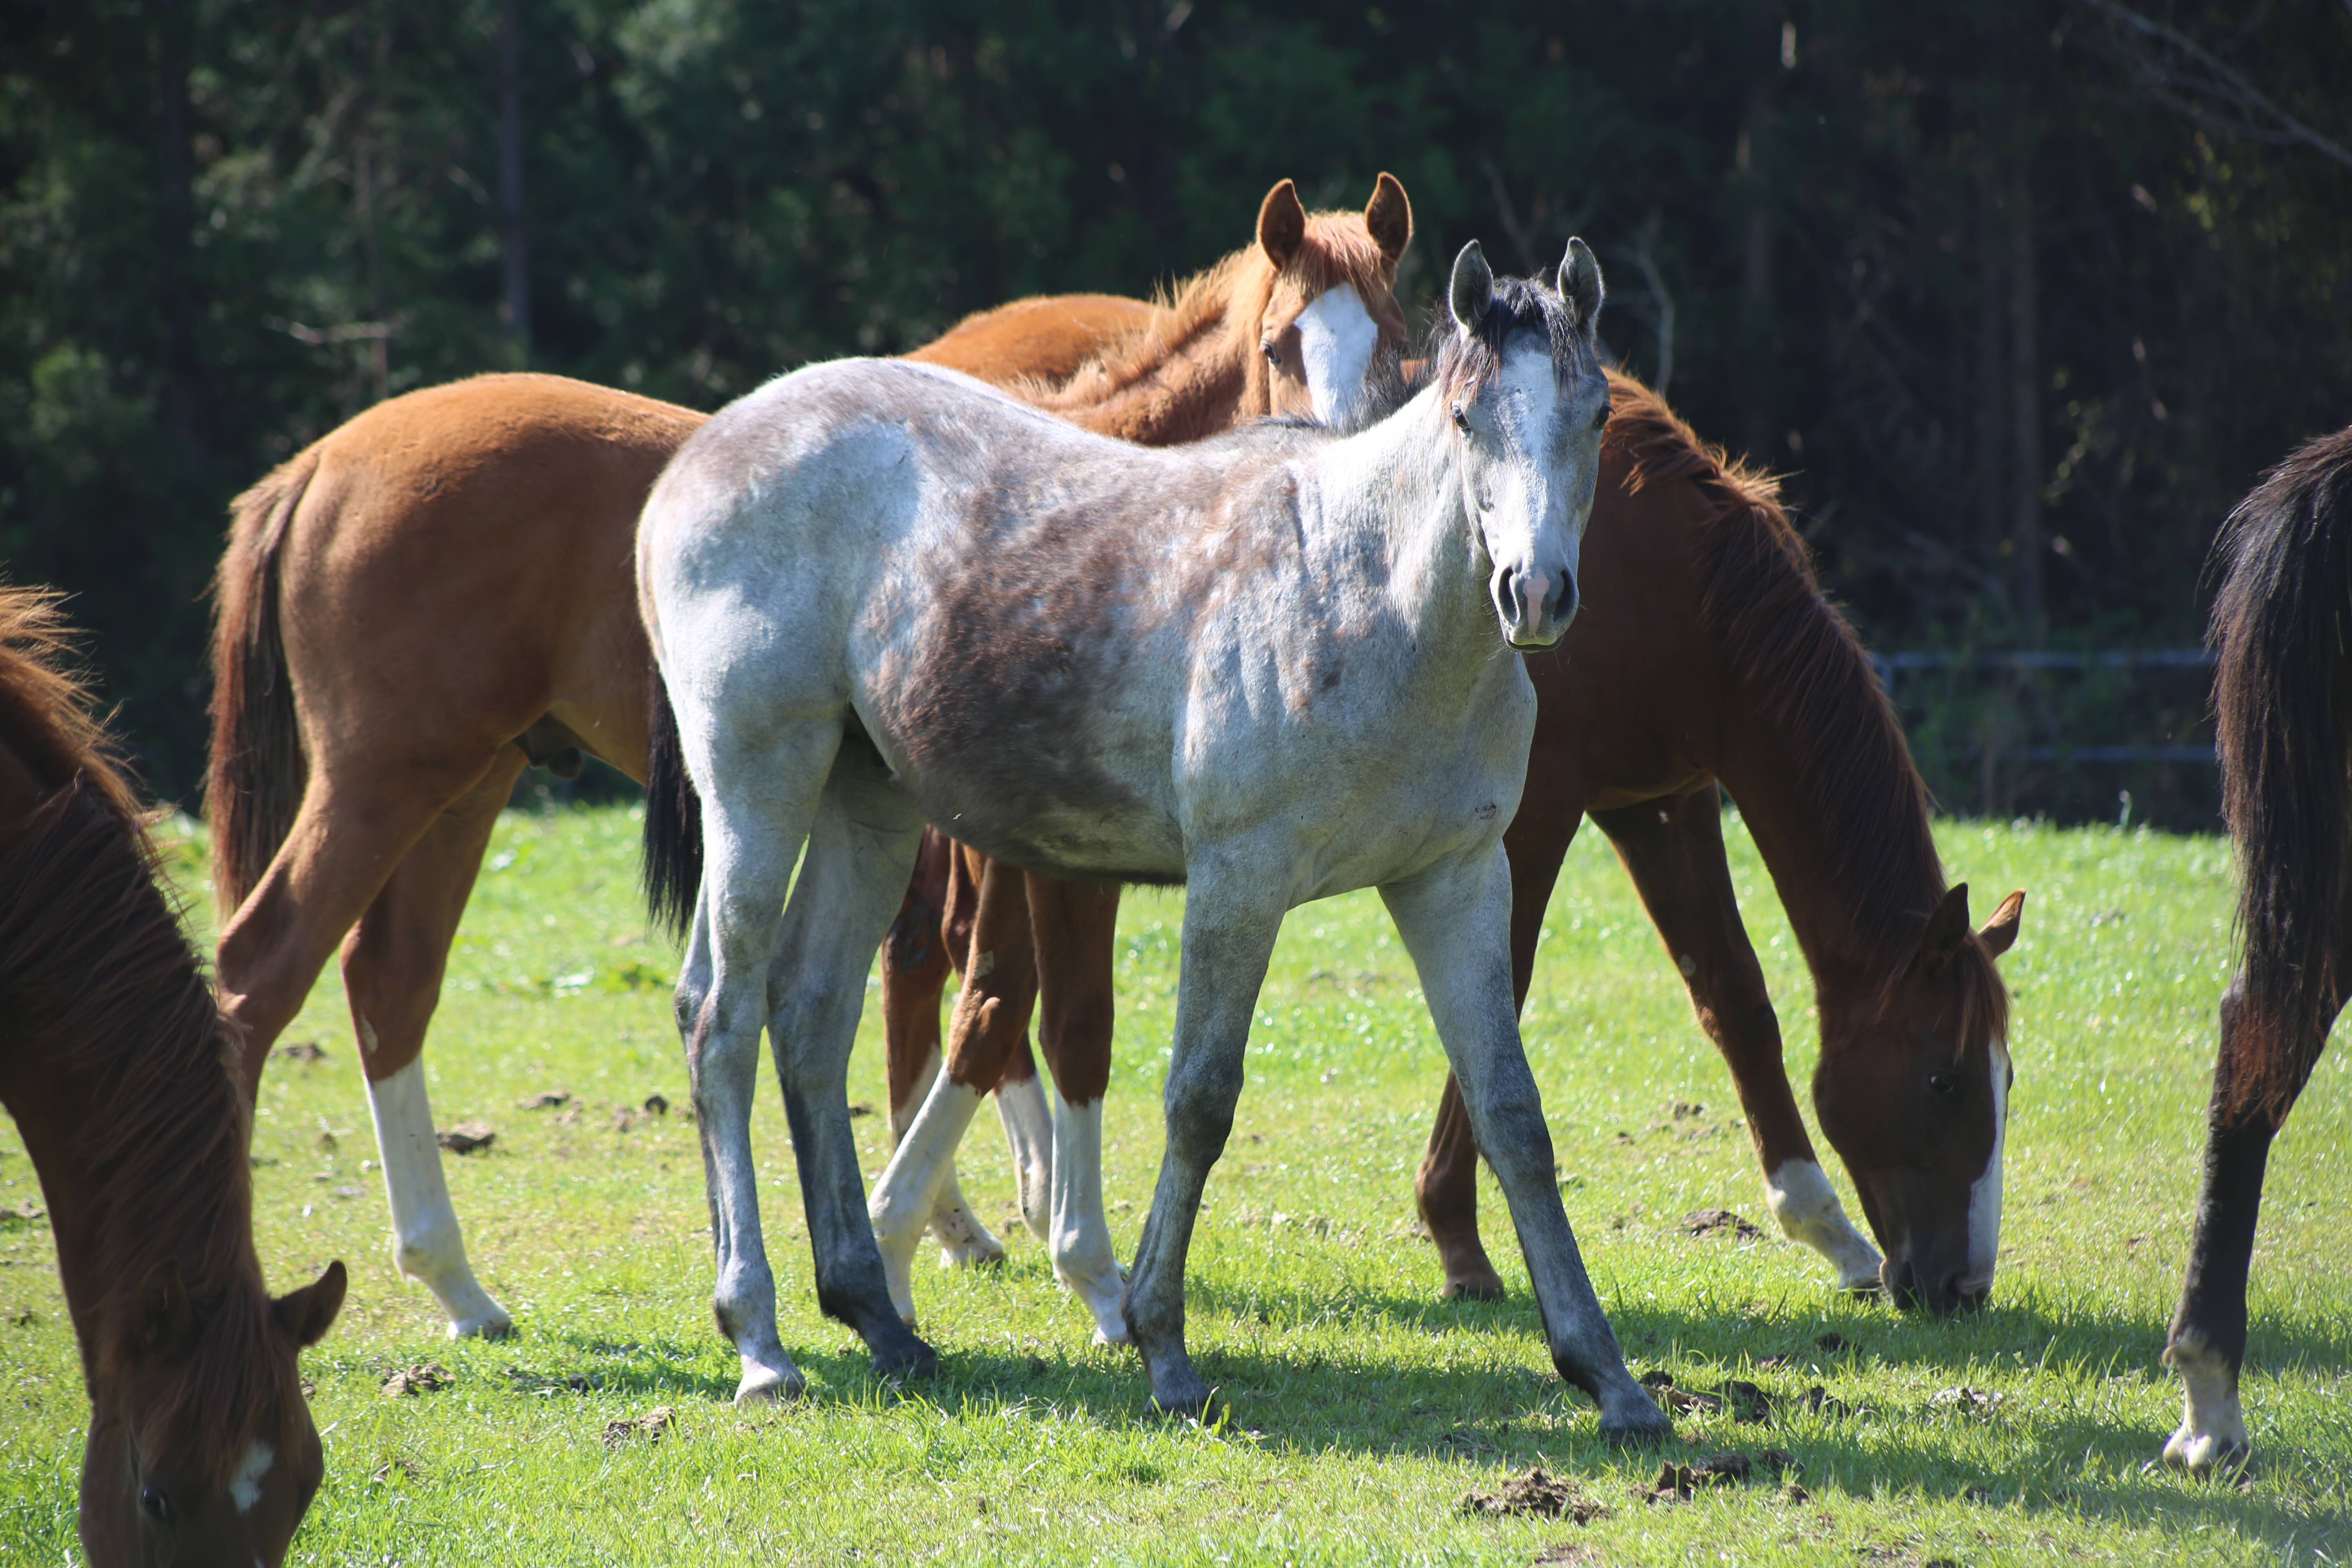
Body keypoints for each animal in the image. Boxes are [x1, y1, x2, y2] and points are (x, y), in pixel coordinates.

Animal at [202, 175, 1401, 1354]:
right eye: (1281, 343)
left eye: (1396, 339)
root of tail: (317, 465)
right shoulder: (1047, 862)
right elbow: (1049, 1023)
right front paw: (1076, 1271)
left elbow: (986, 1011)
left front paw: (950, 1240)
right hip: (388, 780)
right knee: (264, 970)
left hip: (468, 782)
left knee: (389, 983)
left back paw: (458, 1283)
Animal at [644, 240, 1675, 1439]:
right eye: (1465, 417)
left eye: (1595, 414)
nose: (1535, 592)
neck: (1363, 597)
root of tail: (701, 453)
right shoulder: (1239, 880)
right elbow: (1199, 1100)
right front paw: (1163, 1348)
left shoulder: (1453, 881)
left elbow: (1511, 1112)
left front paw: (1606, 1374)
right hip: (759, 781)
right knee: (722, 1017)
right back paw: (759, 1339)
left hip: (870, 800)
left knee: (809, 1012)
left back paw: (878, 1319)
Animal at [880, 369, 2022, 1335]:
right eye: (1941, 1080)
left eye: (2003, 1078)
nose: (1961, 1285)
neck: (1672, 580)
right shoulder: (1533, 817)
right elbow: (1504, 996)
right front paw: (1458, 1239)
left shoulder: (1664, 803)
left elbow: (1734, 1002)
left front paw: (1825, 1226)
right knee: (1007, 1008)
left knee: (978, 997)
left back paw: (968, 1224)